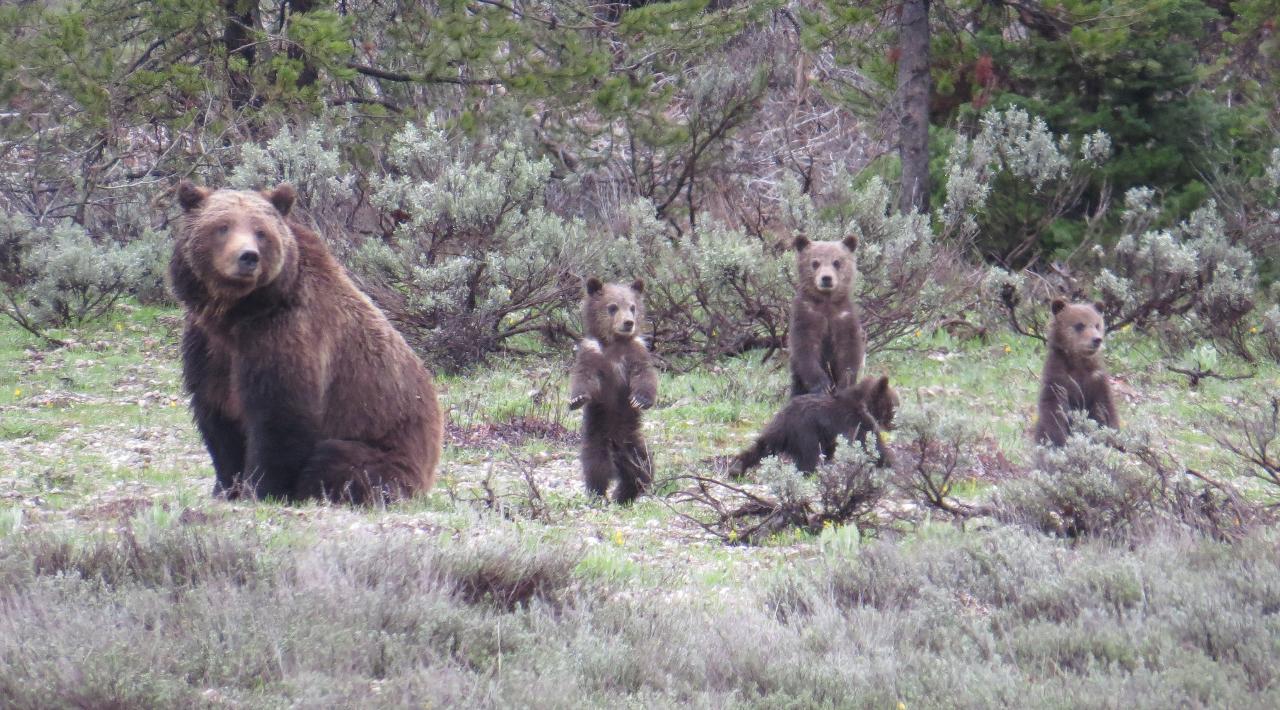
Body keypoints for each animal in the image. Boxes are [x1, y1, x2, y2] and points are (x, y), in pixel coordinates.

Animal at [171, 182, 445, 506]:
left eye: (261, 231)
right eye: (222, 227)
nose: (248, 257)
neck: (237, 314)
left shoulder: (287, 336)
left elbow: (281, 419)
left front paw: (259, 489)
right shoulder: (209, 348)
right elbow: (217, 417)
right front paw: (226, 488)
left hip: (387, 452)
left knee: (337, 460)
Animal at [565, 275, 655, 504]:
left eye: (632, 307)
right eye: (612, 307)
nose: (628, 323)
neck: (616, 343)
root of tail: (617, 447)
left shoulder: (636, 352)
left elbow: (645, 376)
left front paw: (641, 399)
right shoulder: (593, 354)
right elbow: (584, 377)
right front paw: (577, 399)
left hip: (634, 443)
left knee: (643, 469)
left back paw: (625, 494)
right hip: (598, 435)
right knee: (596, 465)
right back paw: (599, 494)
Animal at [732, 373, 901, 478]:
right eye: (895, 404)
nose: (895, 425)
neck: (866, 404)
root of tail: (786, 420)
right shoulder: (854, 421)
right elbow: (869, 444)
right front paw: (889, 461)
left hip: (777, 429)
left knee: (761, 446)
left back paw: (737, 467)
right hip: (806, 433)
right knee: (810, 457)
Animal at [788, 235, 870, 396]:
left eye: (836, 262)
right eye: (815, 262)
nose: (826, 278)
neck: (826, 303)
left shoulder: (844, 318)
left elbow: (848, 351)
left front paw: (844, 383)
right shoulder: (806, 316)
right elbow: (805, 349)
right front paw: (822, 385)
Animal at [1034, 298, 1116, 445]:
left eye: (1097, 325)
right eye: (1079, 325)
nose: (1096, 339)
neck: (1079, 364)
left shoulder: (1097, 379)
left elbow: (1105, 407)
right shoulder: (1058, 379)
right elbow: (1055, 410)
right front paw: (1059, 439)